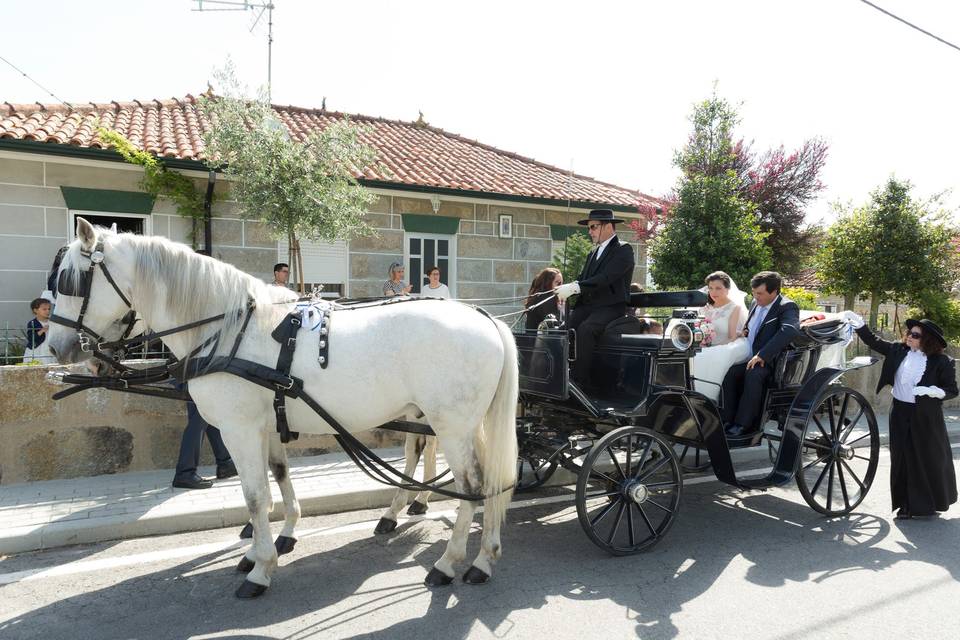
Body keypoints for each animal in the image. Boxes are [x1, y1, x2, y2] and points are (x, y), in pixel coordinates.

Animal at [47, 218, 516, 596]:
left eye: (70, 283)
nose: (56, 347)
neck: (226, 328)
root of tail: (487, 319)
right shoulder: (265, 424)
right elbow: (279, 476)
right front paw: (274, 541)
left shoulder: (238, 429)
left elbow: (255, 497)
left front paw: (261, 568)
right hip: (451, 421)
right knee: (474, 473)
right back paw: (476, 551)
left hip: (452, 425)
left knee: (473, 485)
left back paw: (451, 562)